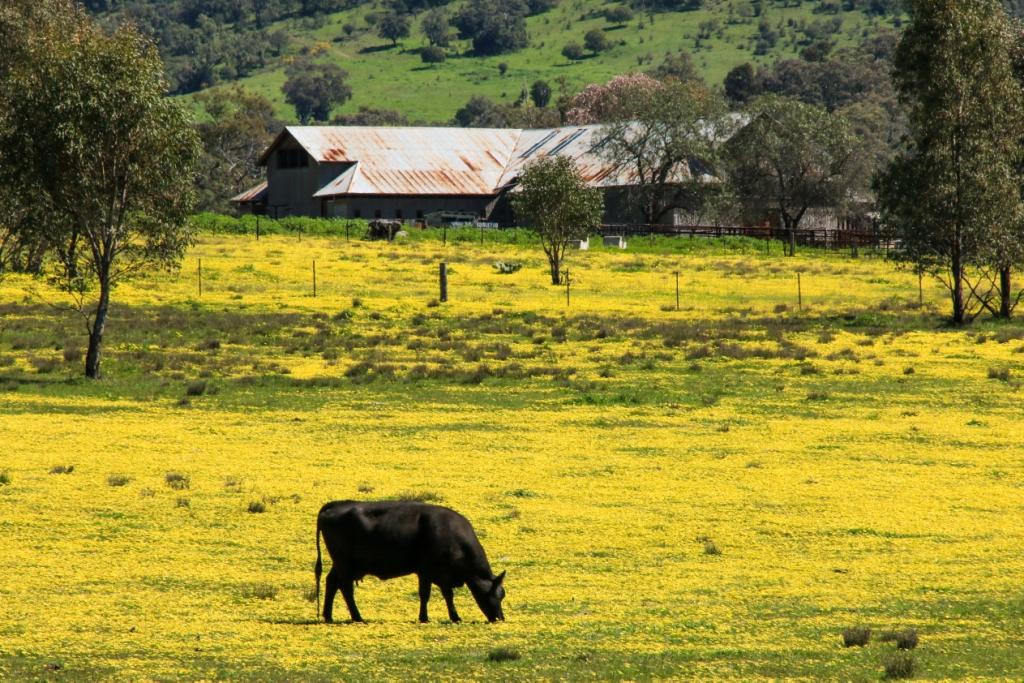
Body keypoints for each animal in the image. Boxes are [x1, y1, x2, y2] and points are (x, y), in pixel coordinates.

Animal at [314, 500, 507, 624]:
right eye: (492, 594)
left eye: (502, 595)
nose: (500, 618)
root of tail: (336, 504)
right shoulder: (430, 571)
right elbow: (431, 594)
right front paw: (431, 618)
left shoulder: (437, 575)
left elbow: (441, 595)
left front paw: (448, 617)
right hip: (345, 564)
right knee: (346, 588)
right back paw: (357, 617)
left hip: (340, 564)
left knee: (331, 582)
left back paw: (328, 616)